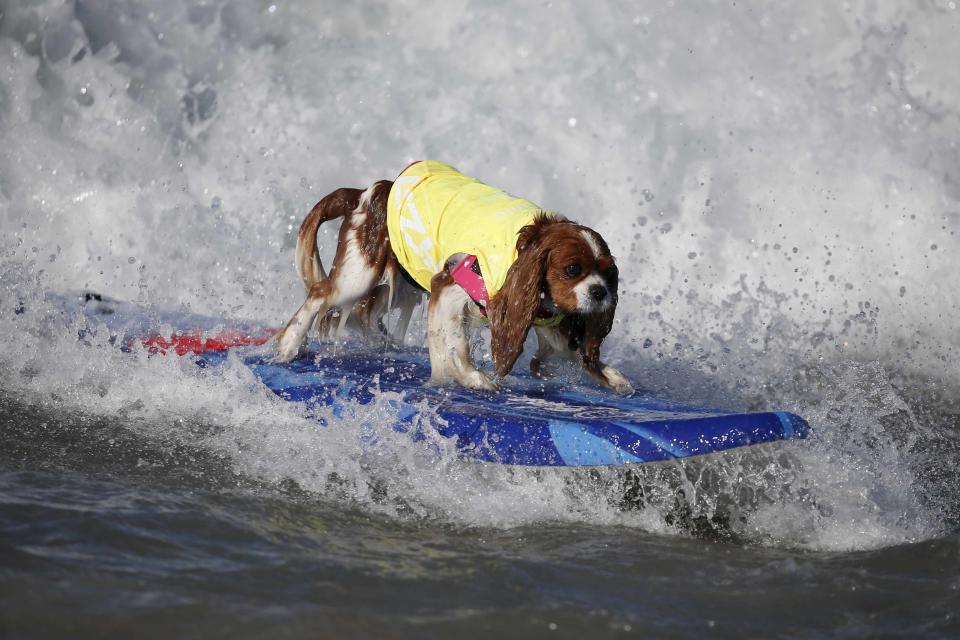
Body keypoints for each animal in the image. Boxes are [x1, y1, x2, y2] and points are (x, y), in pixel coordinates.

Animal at [274, 160, 632, 396]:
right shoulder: (449, 286)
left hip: (401, 283)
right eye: (573, 269)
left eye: (608, 272)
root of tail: (368, 191)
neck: (525, 248)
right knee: (321, 293)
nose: (600, 293)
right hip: (359, 274)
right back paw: (290, 344)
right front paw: (471, 377)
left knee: (365, 314)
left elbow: (566, 350)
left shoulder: (541, 311)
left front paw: (608, 376)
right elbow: (456, 343)